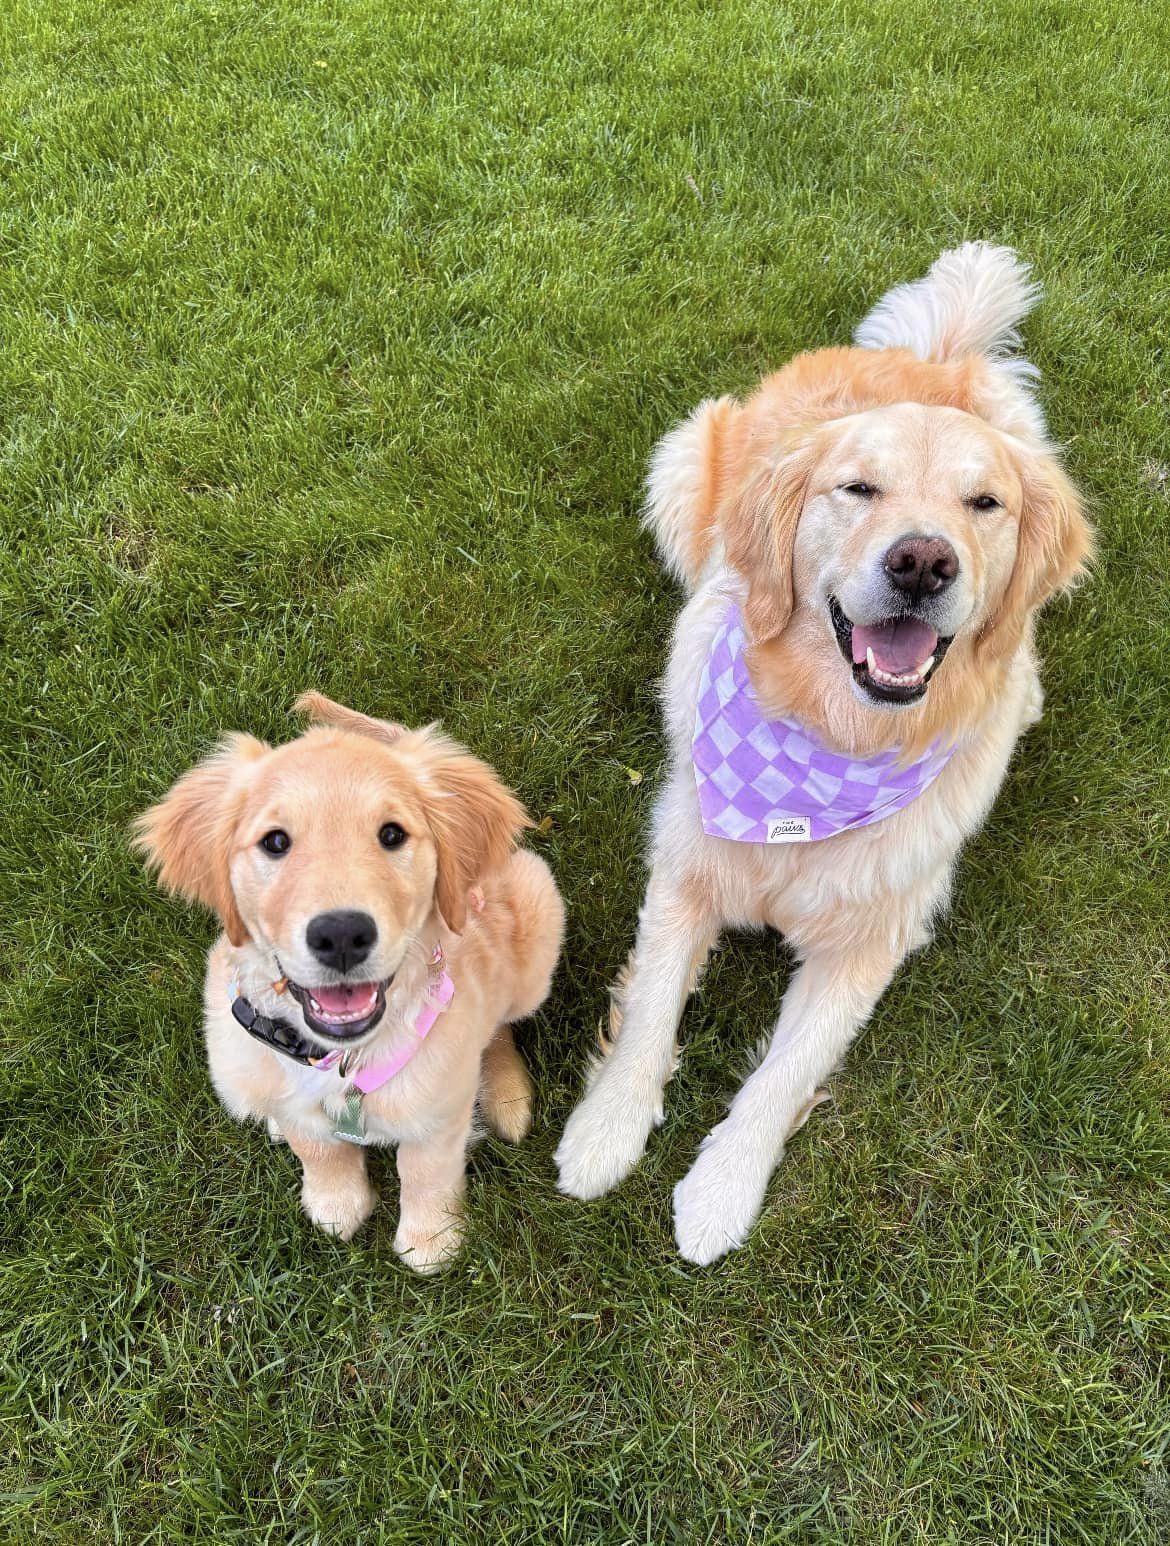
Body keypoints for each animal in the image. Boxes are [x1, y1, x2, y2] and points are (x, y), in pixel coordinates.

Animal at [139, 695, 562, 1273]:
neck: (346, 1061)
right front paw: (335, 1203)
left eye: (392, 834)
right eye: (275, 842)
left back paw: (505, 1094)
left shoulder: (439, 1116)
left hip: (538, 926)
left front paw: (431, 1241)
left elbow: (425, 1172)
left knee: (499, 1026)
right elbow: (318, 1147)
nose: (341, 935)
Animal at [553, 238, 1088, 1255]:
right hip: (681, 466)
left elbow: (786, 1071)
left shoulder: (874, 938)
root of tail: (927, 358)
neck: (831, 738)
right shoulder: (684, 863)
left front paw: (720, 1191)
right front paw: (606, 1130)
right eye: (858, 488)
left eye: (984, 503)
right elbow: (650, 1008)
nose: (922, 562)